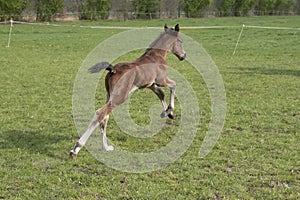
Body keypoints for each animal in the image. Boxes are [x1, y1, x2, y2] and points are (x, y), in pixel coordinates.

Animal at [71, 24, 186, 158]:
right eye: (180, 41)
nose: (183, 56)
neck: (157, 55)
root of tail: (113, 69)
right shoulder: (161, 80)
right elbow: (174, 85)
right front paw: (169, 110)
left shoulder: (150, 84)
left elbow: (161, 94)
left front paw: (167, 113)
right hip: (120, 96)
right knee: (100, 113)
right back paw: (76, 149)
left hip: (109, 95)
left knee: (105, 117)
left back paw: (106, 147)